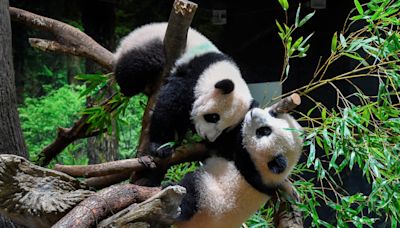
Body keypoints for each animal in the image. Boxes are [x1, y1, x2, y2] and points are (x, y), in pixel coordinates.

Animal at [114, 22, 253, 157]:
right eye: (213, 117)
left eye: (226, 129)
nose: (208, 138)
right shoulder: (192, 75)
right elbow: (169, 105)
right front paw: (161, 146)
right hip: (146, 43)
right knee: (141, 63)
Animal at [173, 106, 304, 227]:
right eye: (273, 115)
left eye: (263, 131)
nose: (253, 113)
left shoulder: (242, 159)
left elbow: (221, 142)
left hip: (206, 198)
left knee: (190, 192)